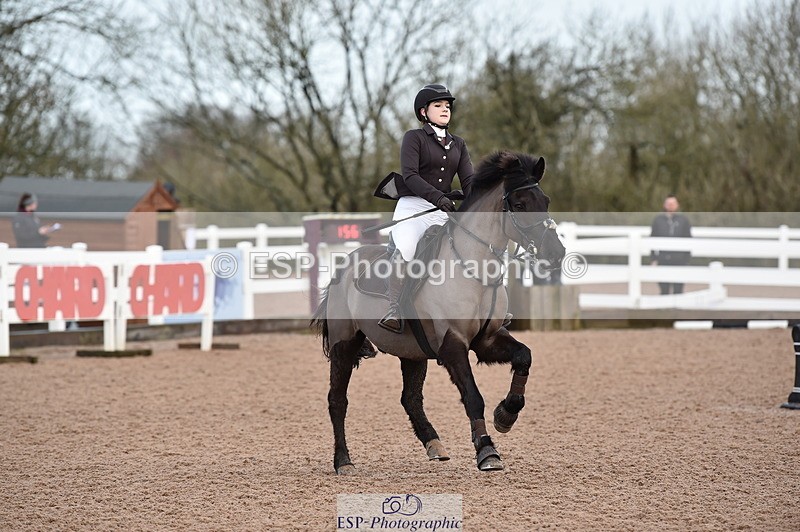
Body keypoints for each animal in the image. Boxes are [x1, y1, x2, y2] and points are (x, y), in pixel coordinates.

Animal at [311, 151, 566, 473]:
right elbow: (473, 396)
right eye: (519, 205)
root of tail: (344, 266)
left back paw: (434, 444)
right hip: (344, 344)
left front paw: (506, 414)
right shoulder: (453, 344)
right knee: (338, 400)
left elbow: (524, 357)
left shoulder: (488, 340)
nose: (556, 253)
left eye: (545, 201)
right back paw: (343, 461)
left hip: (412, 351)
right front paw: (487, 450)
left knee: (410, 398)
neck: (473, 268)